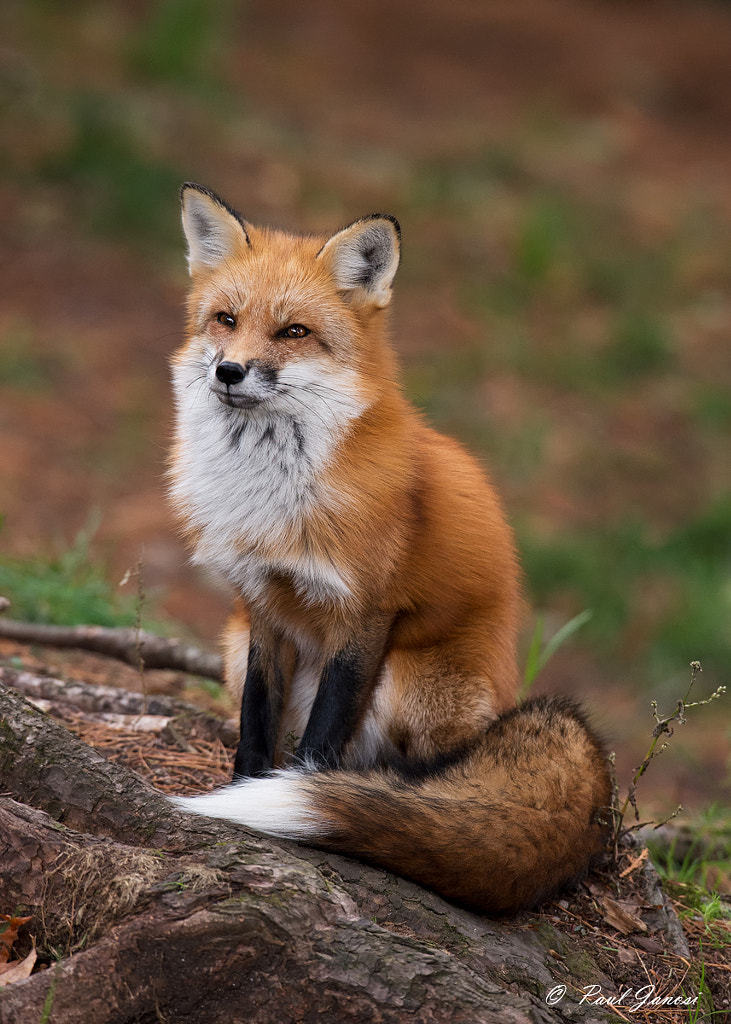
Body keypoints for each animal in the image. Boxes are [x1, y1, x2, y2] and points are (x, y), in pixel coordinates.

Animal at [166, 184, 610, 913]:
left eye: (293, 332)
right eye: (225, 320)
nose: (229, 371)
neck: (274, 495)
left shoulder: (365, 611)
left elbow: (319, 739)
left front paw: (305, 796)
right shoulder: (262, 607)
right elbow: (257, 723)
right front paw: (242, 788)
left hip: (410, 679)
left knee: (416, 770)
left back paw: (401, 801)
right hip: (231, 645)